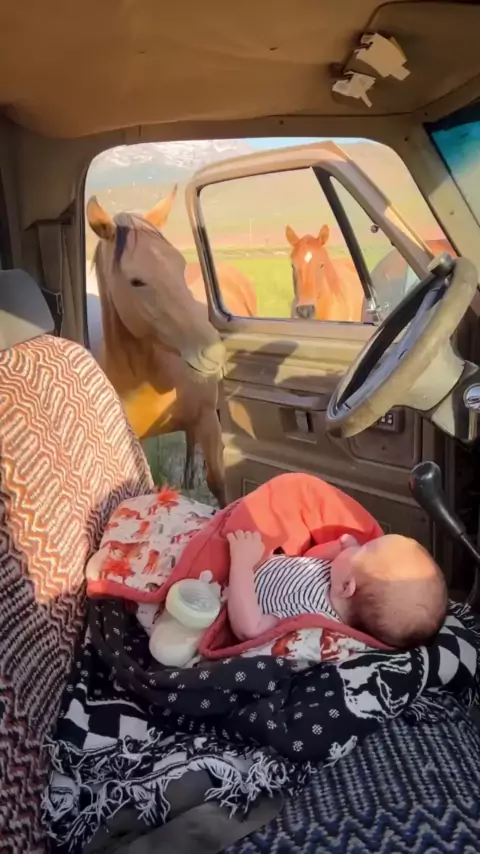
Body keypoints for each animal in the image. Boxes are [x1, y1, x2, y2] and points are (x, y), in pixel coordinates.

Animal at [87, 190, 231, 506]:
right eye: (136, 281)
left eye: (180, 264)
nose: (212, 352)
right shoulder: (133, 444)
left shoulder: (208, 420)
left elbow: (219, 483)